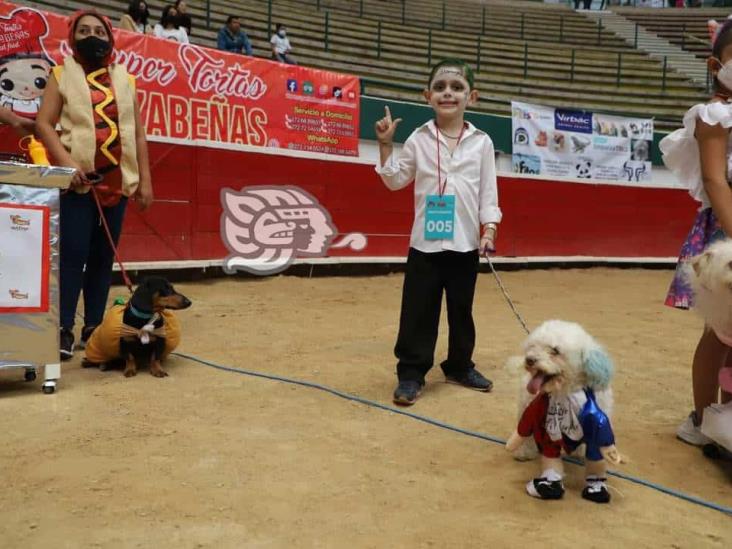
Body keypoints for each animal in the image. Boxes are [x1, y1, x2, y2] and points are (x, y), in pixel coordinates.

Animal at [506, 318, 620, 504]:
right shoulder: (546, 425)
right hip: (526, 407)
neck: (565, 392)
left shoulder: (597, 425)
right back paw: (524, 452)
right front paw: (550, 483)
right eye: (533, 346)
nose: (529, 359)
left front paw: (596, 486)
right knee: (526, 435)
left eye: (555, 350)